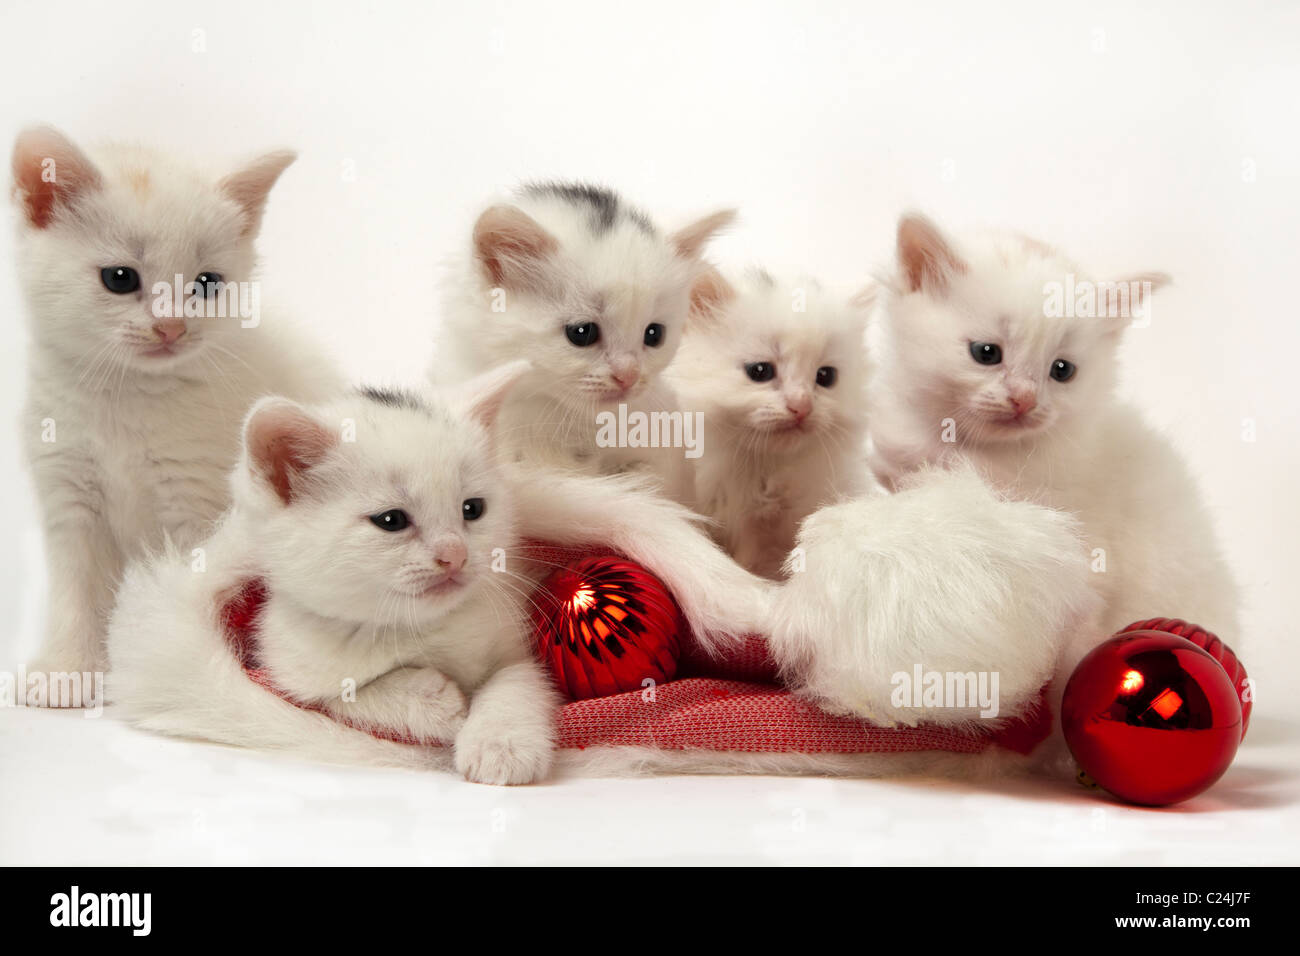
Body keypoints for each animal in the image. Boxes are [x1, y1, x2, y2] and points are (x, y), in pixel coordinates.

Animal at [12, 127, 338, 681]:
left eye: (207, 283)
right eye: (120, 278)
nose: (171, 328)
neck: (126, 395)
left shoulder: (198, 504)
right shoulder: (68, 492)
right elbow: (77, 588)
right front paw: (67, 670)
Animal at [109, 366, 561, 785]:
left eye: (473, 509)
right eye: (391, 520)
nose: (455, 555)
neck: (412, 627)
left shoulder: (512, 636)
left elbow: (515, 677)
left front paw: (501, 743)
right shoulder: (289, 670)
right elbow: (345, 697)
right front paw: (431, 701)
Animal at [868, 215, 1232, 676]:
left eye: (1063, 370)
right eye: (986, 353)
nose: (1025, 400)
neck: (967, 450)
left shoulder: (1084, 557)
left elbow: (1069, 637)